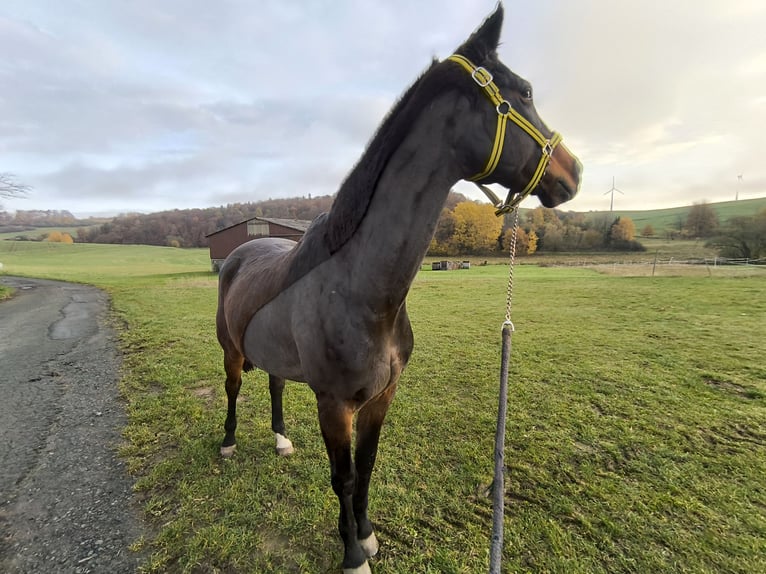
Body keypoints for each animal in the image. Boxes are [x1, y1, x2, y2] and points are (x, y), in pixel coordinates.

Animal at [215, 4, 581, 572]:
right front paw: (351, 554)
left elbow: (366, 468)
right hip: (231, 350)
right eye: (523, 91)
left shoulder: (381, 397)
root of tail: (240, 252)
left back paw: (280, 439)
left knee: (274, 384)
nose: (574, 172)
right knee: (234, 388)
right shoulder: (335, 405)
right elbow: (343, 478)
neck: (362, 292)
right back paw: (230, 443)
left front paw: (366, 536)